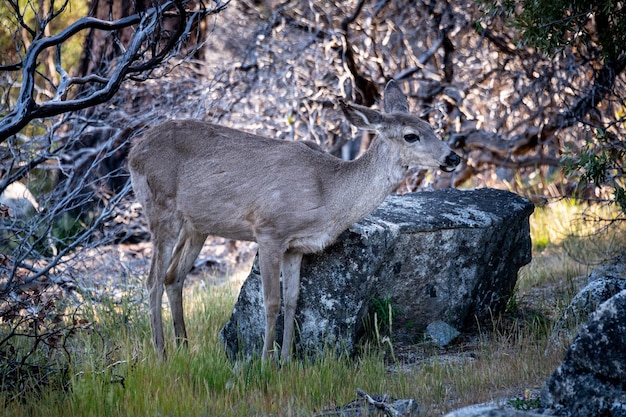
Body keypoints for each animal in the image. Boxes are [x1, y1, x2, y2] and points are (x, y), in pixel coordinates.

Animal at [127, 79, 458, 360]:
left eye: (431, 126)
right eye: (411, 136)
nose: (452, 157)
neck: (328, 192)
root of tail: (134, 151)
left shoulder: (297, 247)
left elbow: (293, 300)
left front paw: (286, 360)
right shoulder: (269, 230)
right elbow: (271, 301)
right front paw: (265, 361)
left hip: (197, 226)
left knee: (174, 276)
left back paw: (184, 348)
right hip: (161, 208)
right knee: (153, 279)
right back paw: (161, 355)